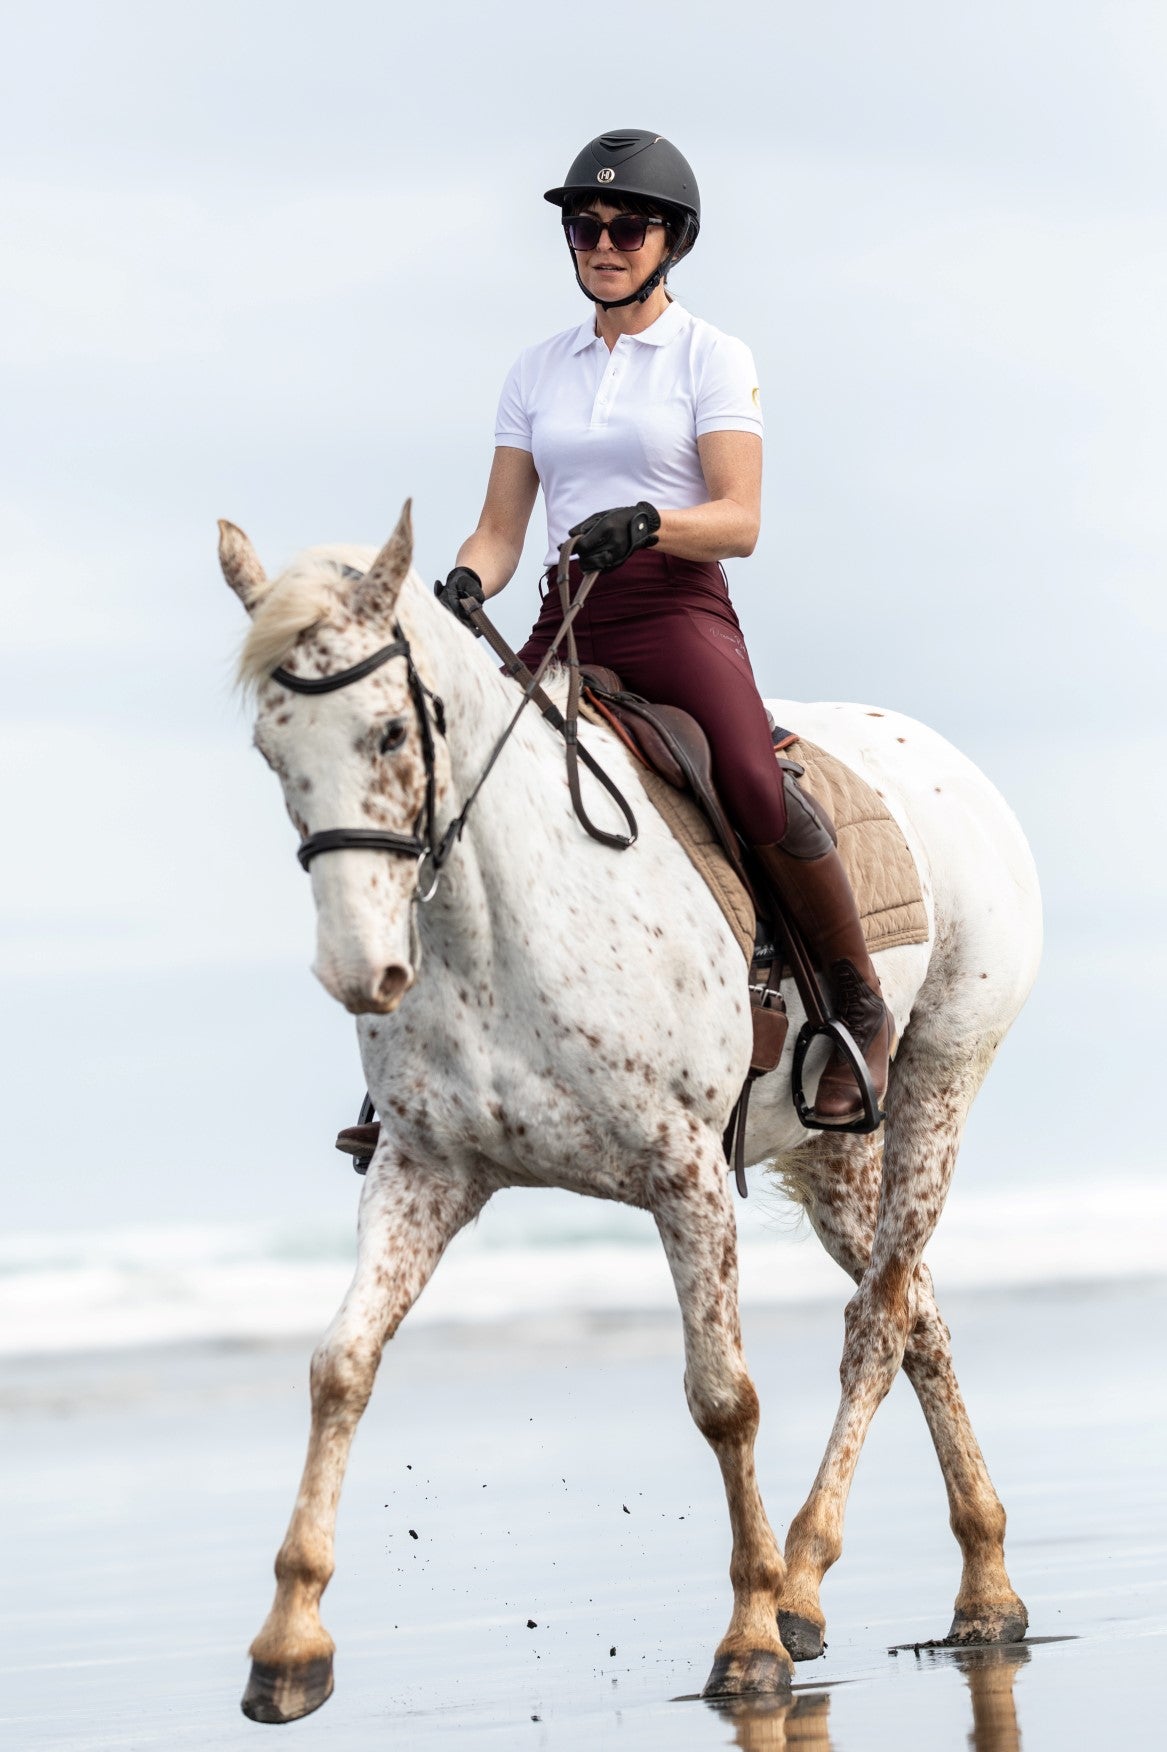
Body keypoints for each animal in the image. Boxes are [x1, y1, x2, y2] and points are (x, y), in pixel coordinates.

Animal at [218, 503, 1042, 1725]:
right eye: (273, 754)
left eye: (387, 735)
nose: (360, 973)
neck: (499, 927)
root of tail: (950, 765)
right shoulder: (424, 1170)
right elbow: (340, 1367)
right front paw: (288, 1647)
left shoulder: (682, 1173)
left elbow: (724, 1400)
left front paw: (749, 1638)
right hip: (840, 1154)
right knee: (921, 1321)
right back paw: (983, 1590)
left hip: (941, 1081)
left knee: (876, 1326)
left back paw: (806, 1583)